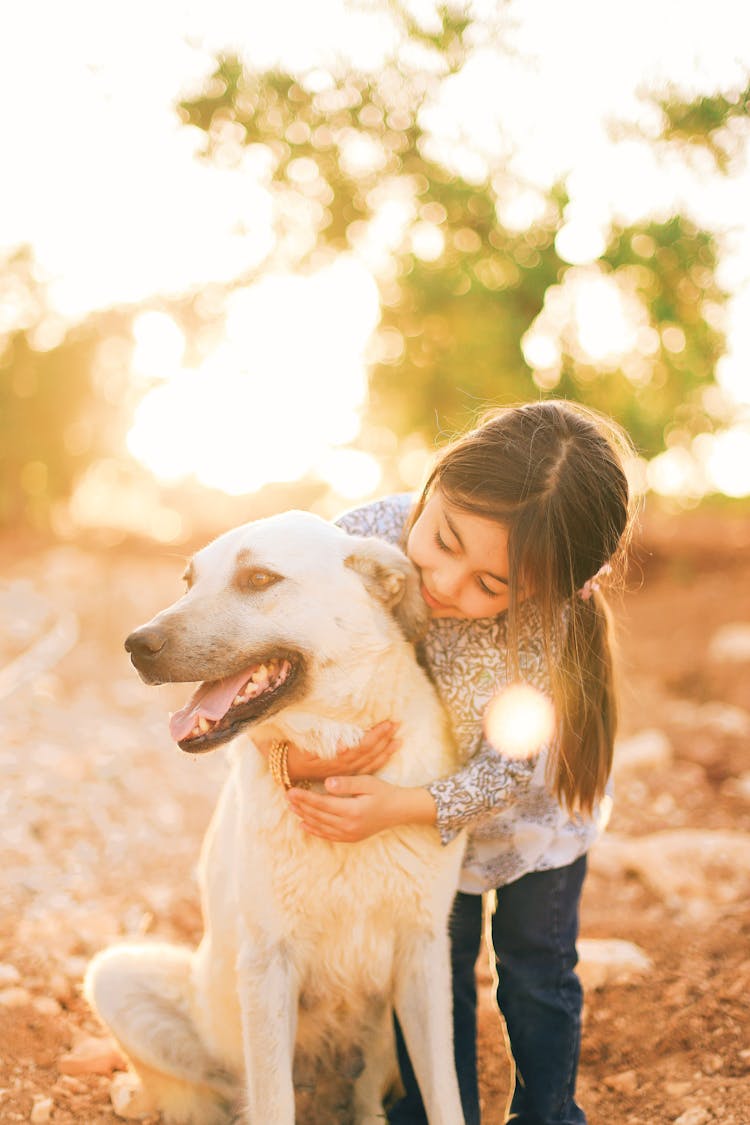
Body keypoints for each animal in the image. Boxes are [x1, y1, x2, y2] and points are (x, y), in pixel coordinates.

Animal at [84, 513, 465, 1125]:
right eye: (187, 582)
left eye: (259, 579)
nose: (137, 644)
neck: (332, 758)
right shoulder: (267, 964)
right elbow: (270, 1098)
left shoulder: (423, 955)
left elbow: (445, 1095)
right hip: (120, 980)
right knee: (220, 1094)